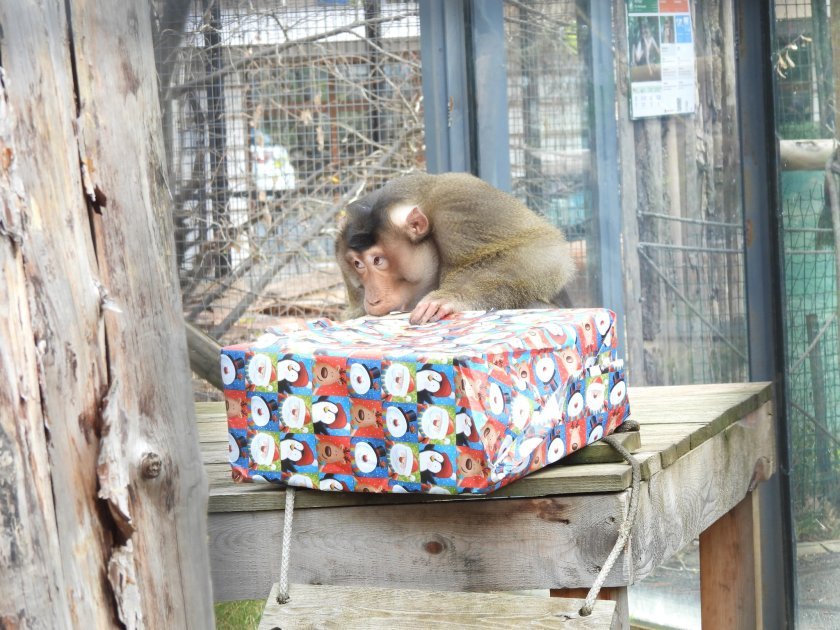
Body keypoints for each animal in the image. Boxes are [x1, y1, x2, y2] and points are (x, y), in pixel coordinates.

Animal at [338, 172, 576, 326]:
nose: (372, 300)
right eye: (357, 264)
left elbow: (540, 250)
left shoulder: (460, 204)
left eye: (377, 260)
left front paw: (450, 297)